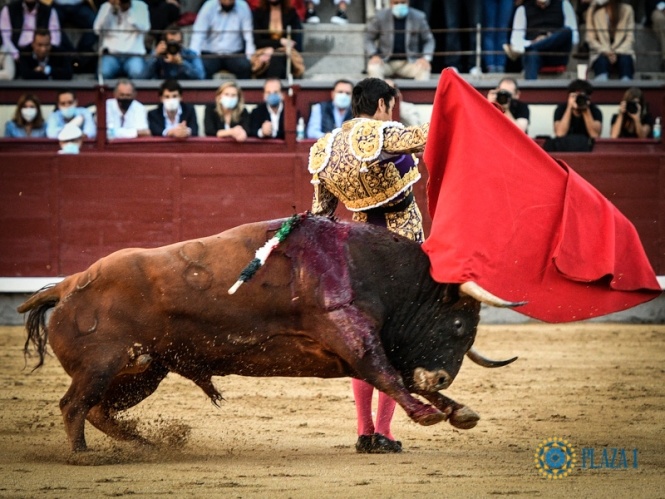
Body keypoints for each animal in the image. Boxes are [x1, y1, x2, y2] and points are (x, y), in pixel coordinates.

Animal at [16, 216, 520, 454]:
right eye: (459, 324)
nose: (441, 376)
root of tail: (69, 282)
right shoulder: (349, 330)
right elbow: (386, 374)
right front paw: (431, 413)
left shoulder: (363, 346)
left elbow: (394, 374)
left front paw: (458, 410)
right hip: (103, 364)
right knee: (73, 405)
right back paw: (83, 455)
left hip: (142, 371)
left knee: (99, 410)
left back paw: (143, 444)